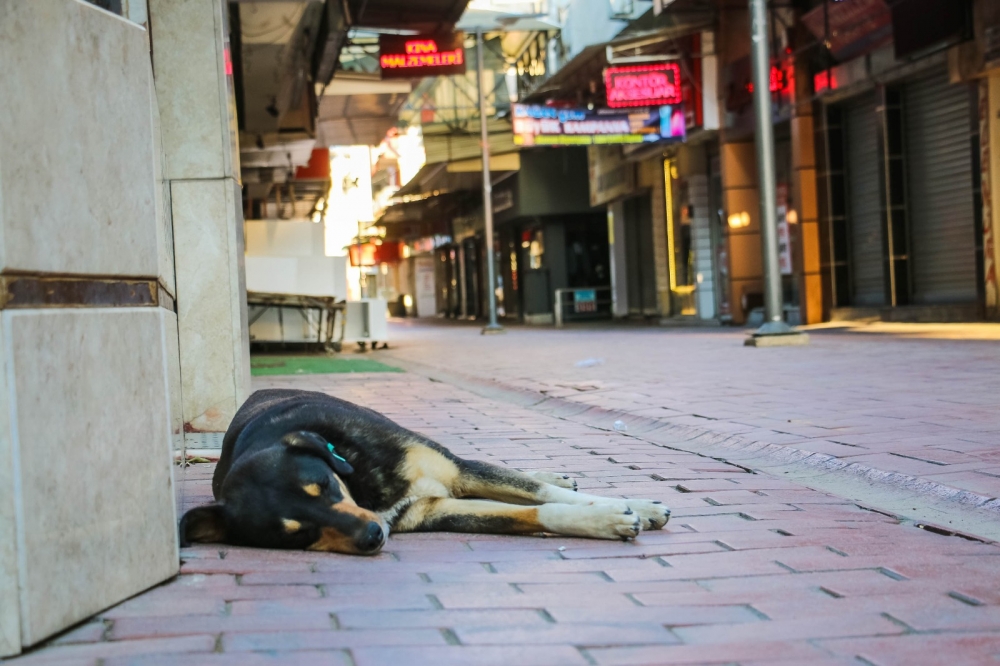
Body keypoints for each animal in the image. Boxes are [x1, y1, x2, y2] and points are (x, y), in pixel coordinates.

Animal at [180, 386, 672, 552]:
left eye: (325, 485)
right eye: (296, 536)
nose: (372, 536)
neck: (362, 482)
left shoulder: (455, 471)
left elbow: (547, 496)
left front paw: (633, 505)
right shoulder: (436, 510)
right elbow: (535, 511)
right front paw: (606, 520)